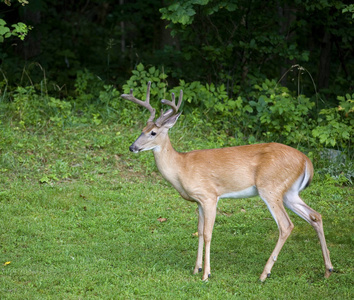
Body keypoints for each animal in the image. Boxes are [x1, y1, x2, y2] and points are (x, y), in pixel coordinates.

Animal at [120, 80, 334, 282]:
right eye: (142, 129)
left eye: (153, 133)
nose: (132, 147)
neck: (181, 167)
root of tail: (306, 160)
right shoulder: (198, 201)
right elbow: (199, 231)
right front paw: (196, 269)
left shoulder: (209, 196)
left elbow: (207, 233)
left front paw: (206, 274)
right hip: (289, 192)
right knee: (315, 216)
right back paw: (328, 270)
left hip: (270, 187)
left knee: (286, 225)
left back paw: (264, 274)